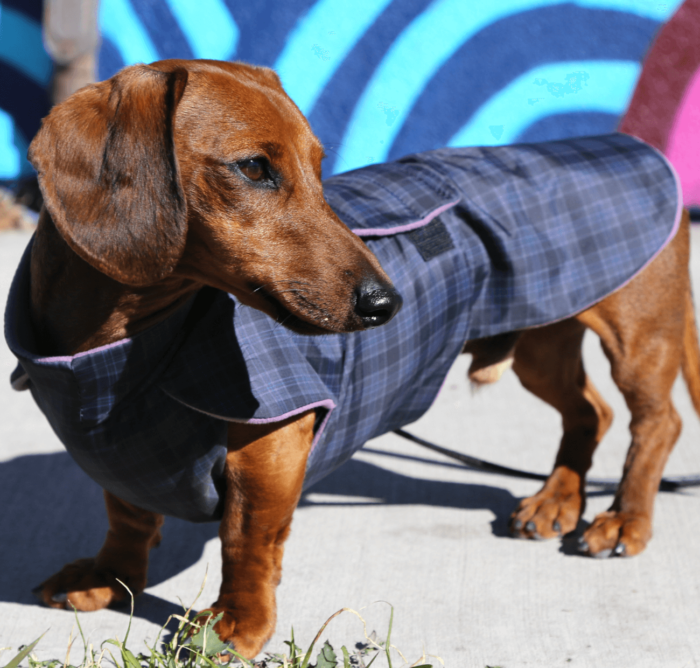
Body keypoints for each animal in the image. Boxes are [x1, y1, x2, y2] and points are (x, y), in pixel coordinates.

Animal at [15, 60, 700, 660]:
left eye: (320, 168)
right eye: (255, 168)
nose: (386, 303)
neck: (124, 353)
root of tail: (636, 146)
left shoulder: (270, 445)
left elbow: (245, 540)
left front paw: (237, 623)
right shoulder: (120, 453)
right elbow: (127, 514)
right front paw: (110, 577)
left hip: (638, 338)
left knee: (657, 423)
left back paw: (624, 518)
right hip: (540, 347)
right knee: (590, 413)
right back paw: (557, 498)